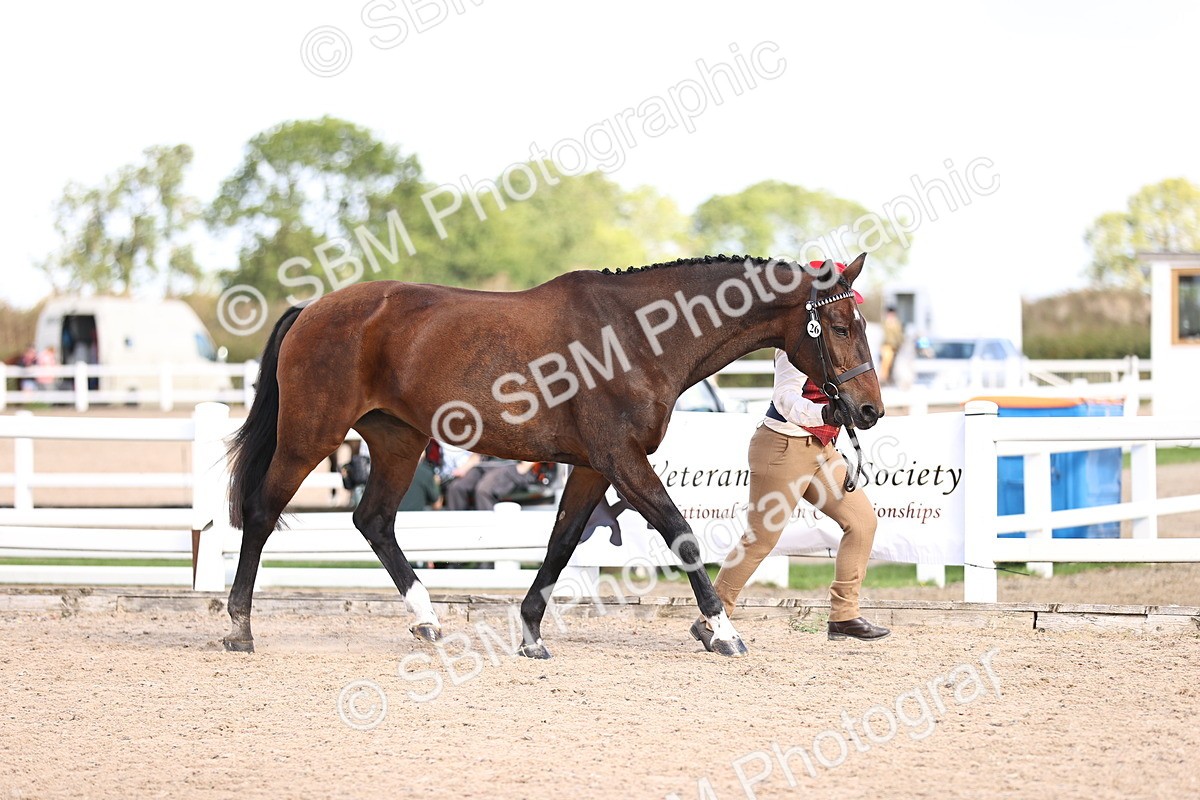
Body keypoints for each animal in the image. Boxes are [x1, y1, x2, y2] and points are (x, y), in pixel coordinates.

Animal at [224, 253, 883, 658]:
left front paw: (532, 634)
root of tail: (311, 310)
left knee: (374, 520)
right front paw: (721, 633)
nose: (869, 410)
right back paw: (239, 627)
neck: (639, 334)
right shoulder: (622, 461)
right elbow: (681, 533)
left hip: (397, 441)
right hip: (309, 435)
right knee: (260, 512)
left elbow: (562, 543)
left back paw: (428, 619)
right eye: (841, 326)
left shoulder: (593, 467)